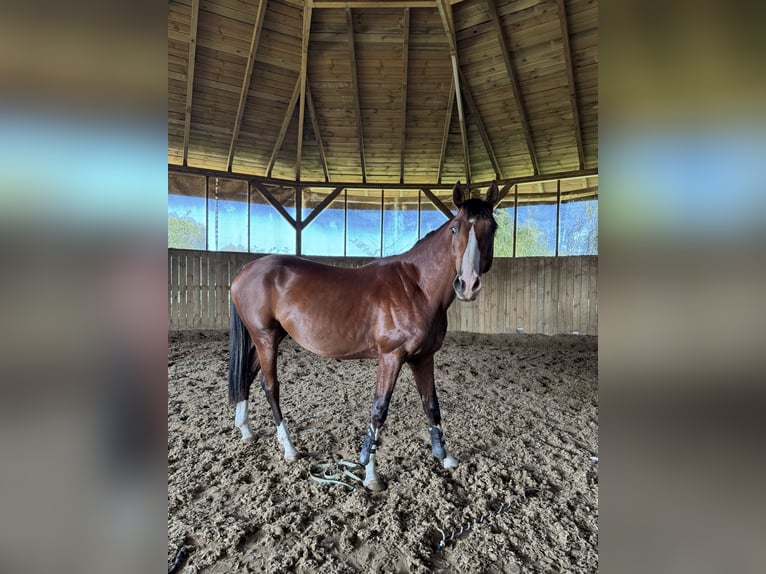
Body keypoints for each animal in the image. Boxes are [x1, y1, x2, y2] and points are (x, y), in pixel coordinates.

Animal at [231, 182, 500, 492]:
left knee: (247, 375)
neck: (417, 287)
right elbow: (379, 409)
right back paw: (289, 448)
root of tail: (245, 271)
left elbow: (431, 405)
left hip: (267, 338)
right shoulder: (391, 358)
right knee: (270, 385)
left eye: (492, 228)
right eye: (455, 228)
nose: (467, 284)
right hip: (266, 338)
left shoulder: (423, 358)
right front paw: (370, 473)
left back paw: (246, 430)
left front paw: (445, 457)